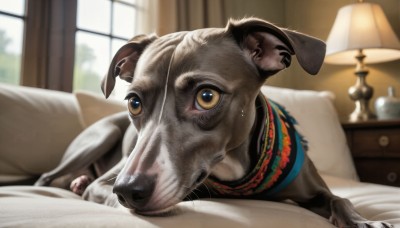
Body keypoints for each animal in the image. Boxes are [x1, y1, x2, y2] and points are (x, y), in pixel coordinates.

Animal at [36, 18, 392, 228]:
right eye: (134, 102)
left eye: (207, 97)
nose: (129, 189)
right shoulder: (111, 179)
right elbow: (104, 191)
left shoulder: (315, 189)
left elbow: (340, 198)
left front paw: (364, 221)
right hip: (102, 136)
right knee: (46, 178)